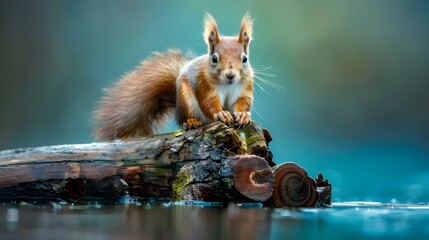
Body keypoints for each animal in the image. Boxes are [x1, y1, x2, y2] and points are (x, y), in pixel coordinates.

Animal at [93, 13, 252, 141]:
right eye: (214, 58)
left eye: (245, 58)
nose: (230, 75)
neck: (227, 84)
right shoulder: (203, 84)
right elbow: (208, 103)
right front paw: (221, 114)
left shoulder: (246, 86)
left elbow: (244, 101)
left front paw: (243, 115)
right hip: (185, 99)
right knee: (184, 120)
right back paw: (191, 122)